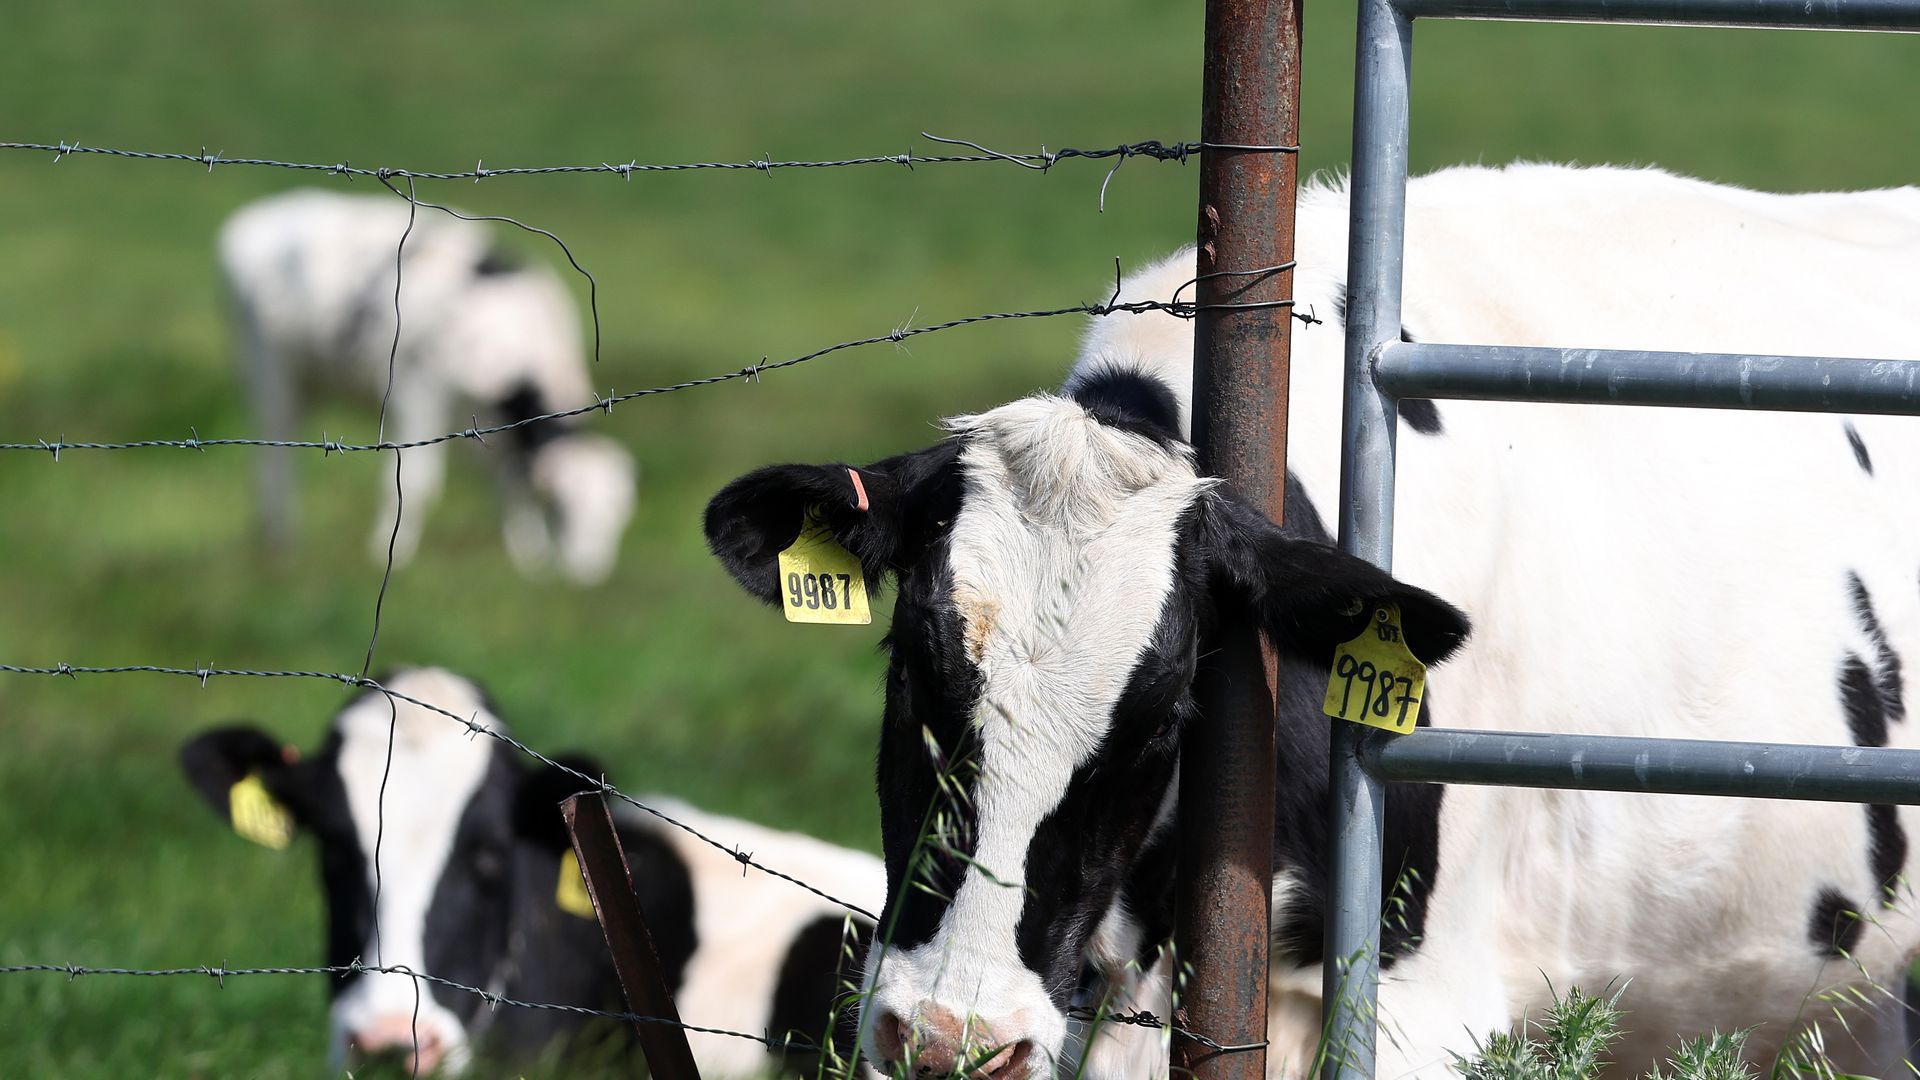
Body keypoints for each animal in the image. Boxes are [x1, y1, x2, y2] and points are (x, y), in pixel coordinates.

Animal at [218, 189, 637, 584]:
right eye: (562, 508)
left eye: (618, 516)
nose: (588, 573)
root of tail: (261, 216)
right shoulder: (417, 391)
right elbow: (416, 484)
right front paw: (388, 555)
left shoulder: (492, 428)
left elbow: (509, 487)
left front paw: (529, 561)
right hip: (269, 371)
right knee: (274, 461)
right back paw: (280, 544)